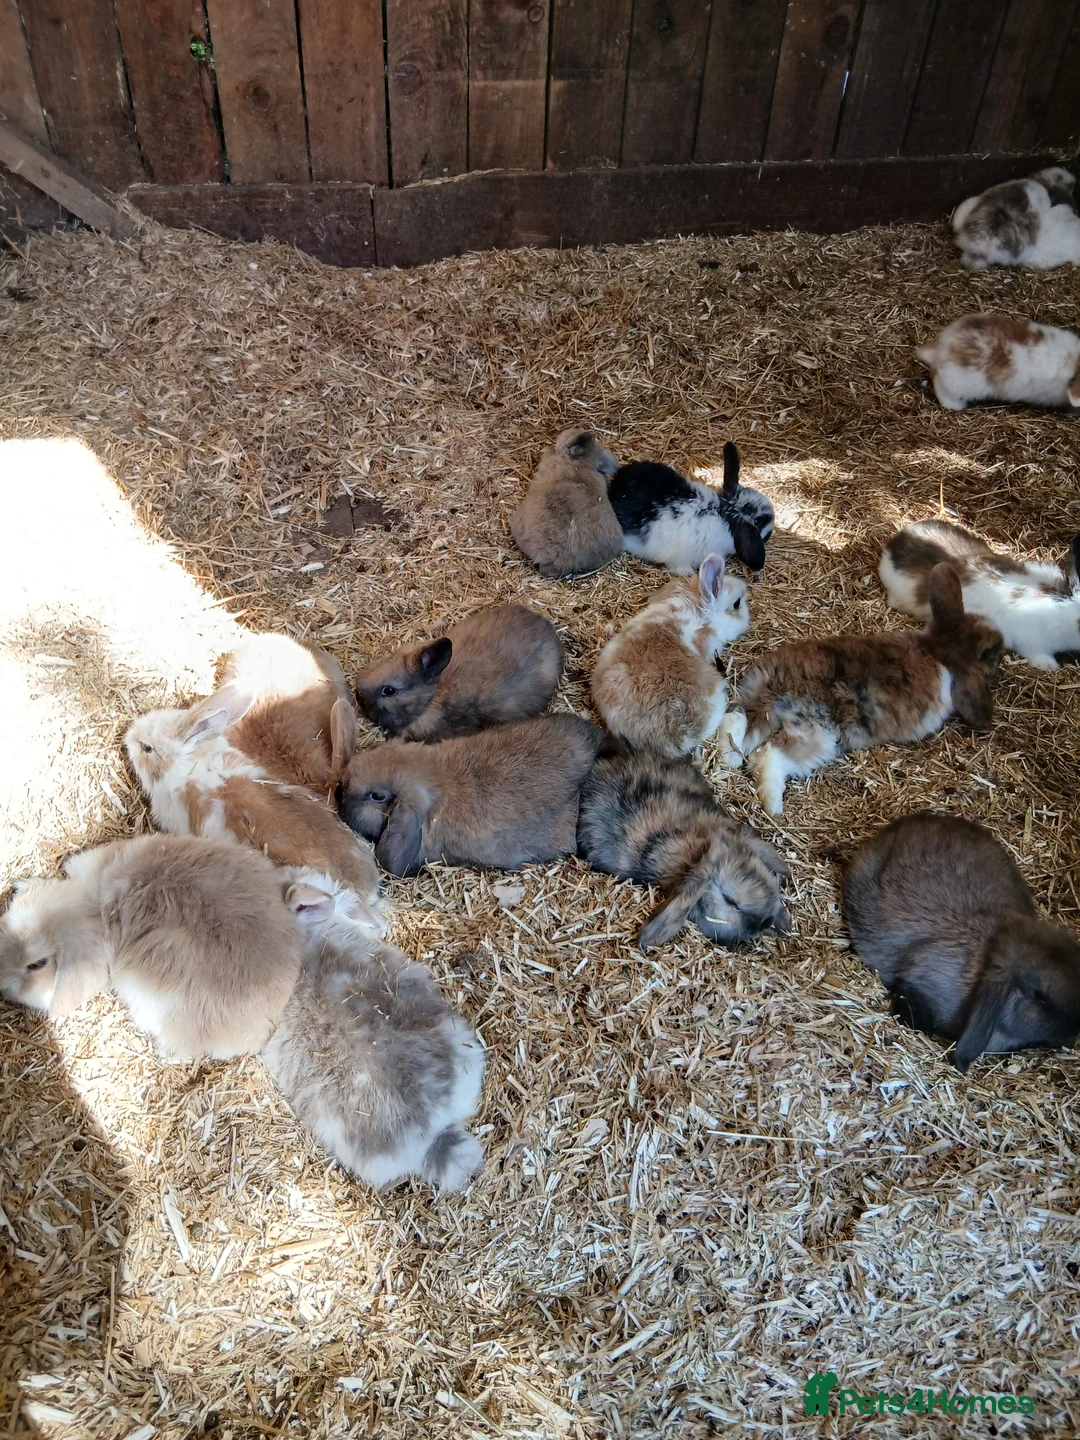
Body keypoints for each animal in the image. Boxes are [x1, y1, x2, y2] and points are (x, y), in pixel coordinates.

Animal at [725, 563, 1003, 815]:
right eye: (990, 652)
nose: (1001, 648)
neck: (939, 649)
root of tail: (778, 687)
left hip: (755, 697)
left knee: (735, 721)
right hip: (816, 735)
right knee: (769, 754)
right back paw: (773, 806)